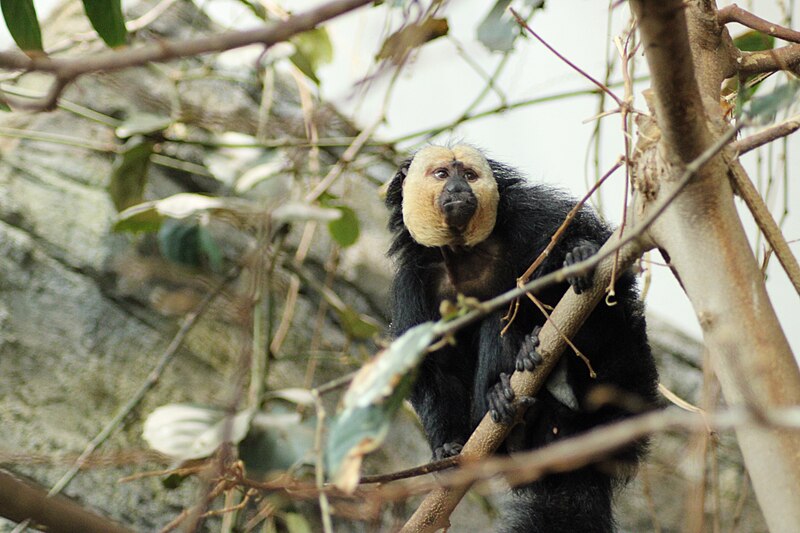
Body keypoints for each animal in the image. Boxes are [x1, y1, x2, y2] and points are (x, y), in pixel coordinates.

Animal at [386, 144, 656, 532]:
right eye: (441, 174)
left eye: (469, 175)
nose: (457, 188)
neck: (465, 253)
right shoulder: (410, 284)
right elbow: (432, 368)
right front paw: (446, 448)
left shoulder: (533, 214)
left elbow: (601, 255)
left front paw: (582, 252)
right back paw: (511, 409)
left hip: (628, 375)